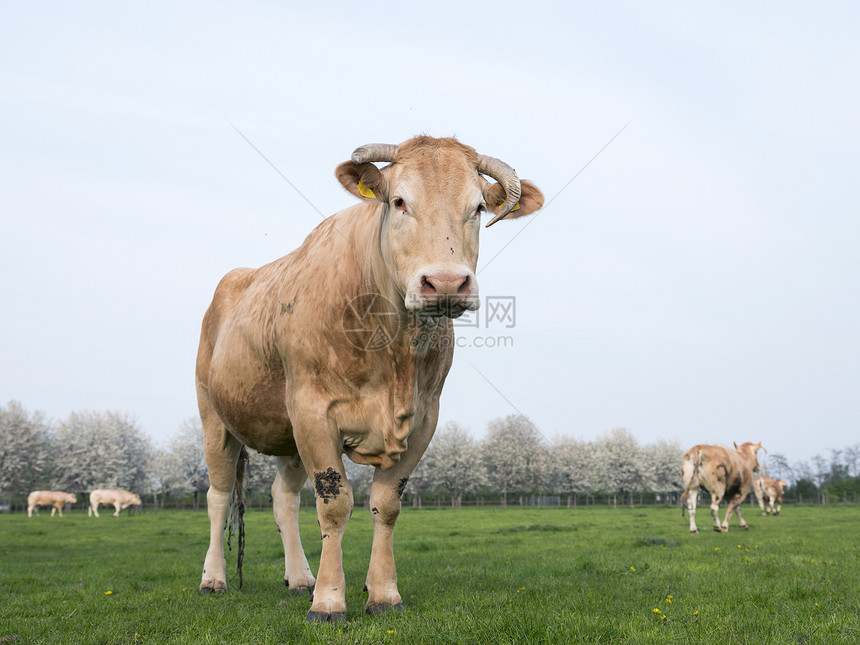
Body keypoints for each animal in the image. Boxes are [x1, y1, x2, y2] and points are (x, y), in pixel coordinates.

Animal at [196, 135, 544, 620]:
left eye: (477, 207)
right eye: (399, 201)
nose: (446, 283)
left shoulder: (424, 419)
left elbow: (386, 505)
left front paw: (382, 593)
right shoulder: (313, 412)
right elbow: (334, 503)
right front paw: (328, 601)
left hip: (286, 434)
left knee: (283, 499)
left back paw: (299, 578)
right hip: (215, 418)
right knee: (219, 494)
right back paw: (214, 579)